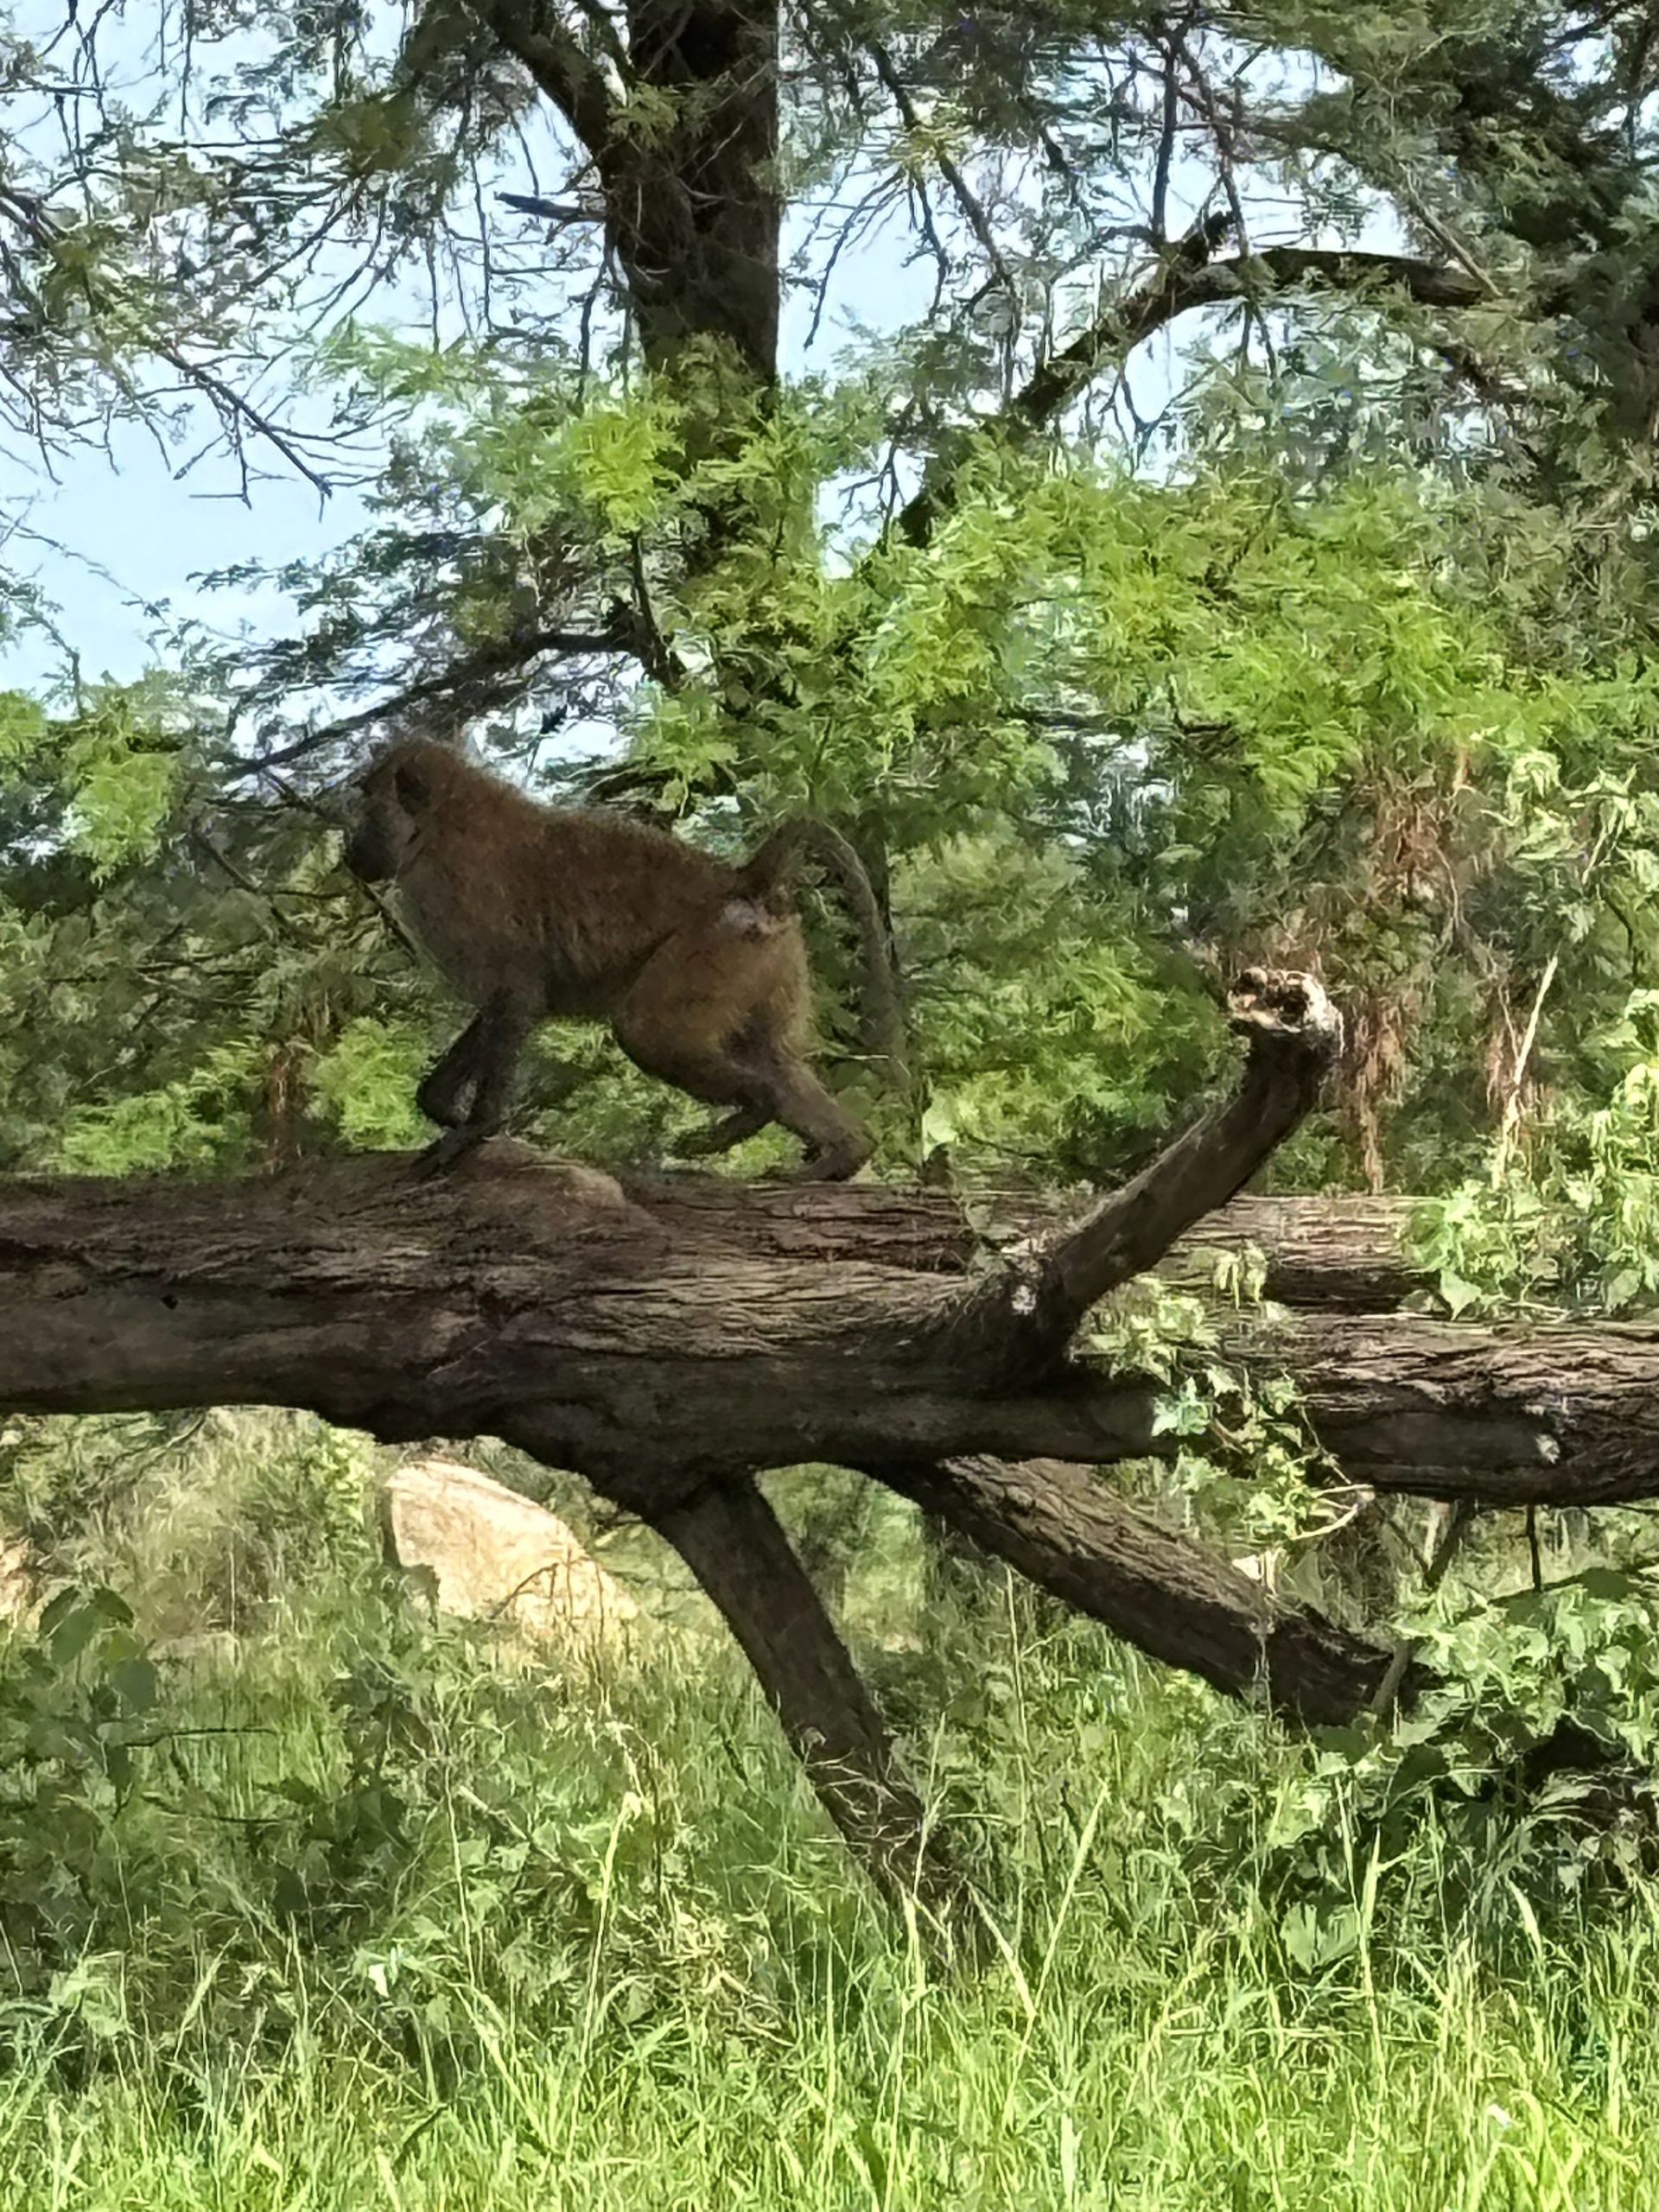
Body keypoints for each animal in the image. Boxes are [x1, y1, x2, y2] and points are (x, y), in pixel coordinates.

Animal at [343, 735, 908, 1180]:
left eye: (368, 809)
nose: (350, 854)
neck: (443, 821)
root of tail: (740, 881)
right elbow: (507, 1004)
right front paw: (442, 1105)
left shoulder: (459, 890)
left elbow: (515, 992)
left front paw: (476, 1128)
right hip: (766, 958)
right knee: (770, 1056)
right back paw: (845, 1154)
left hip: (714, 948)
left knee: (647, 1033)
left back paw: (759, 1107)